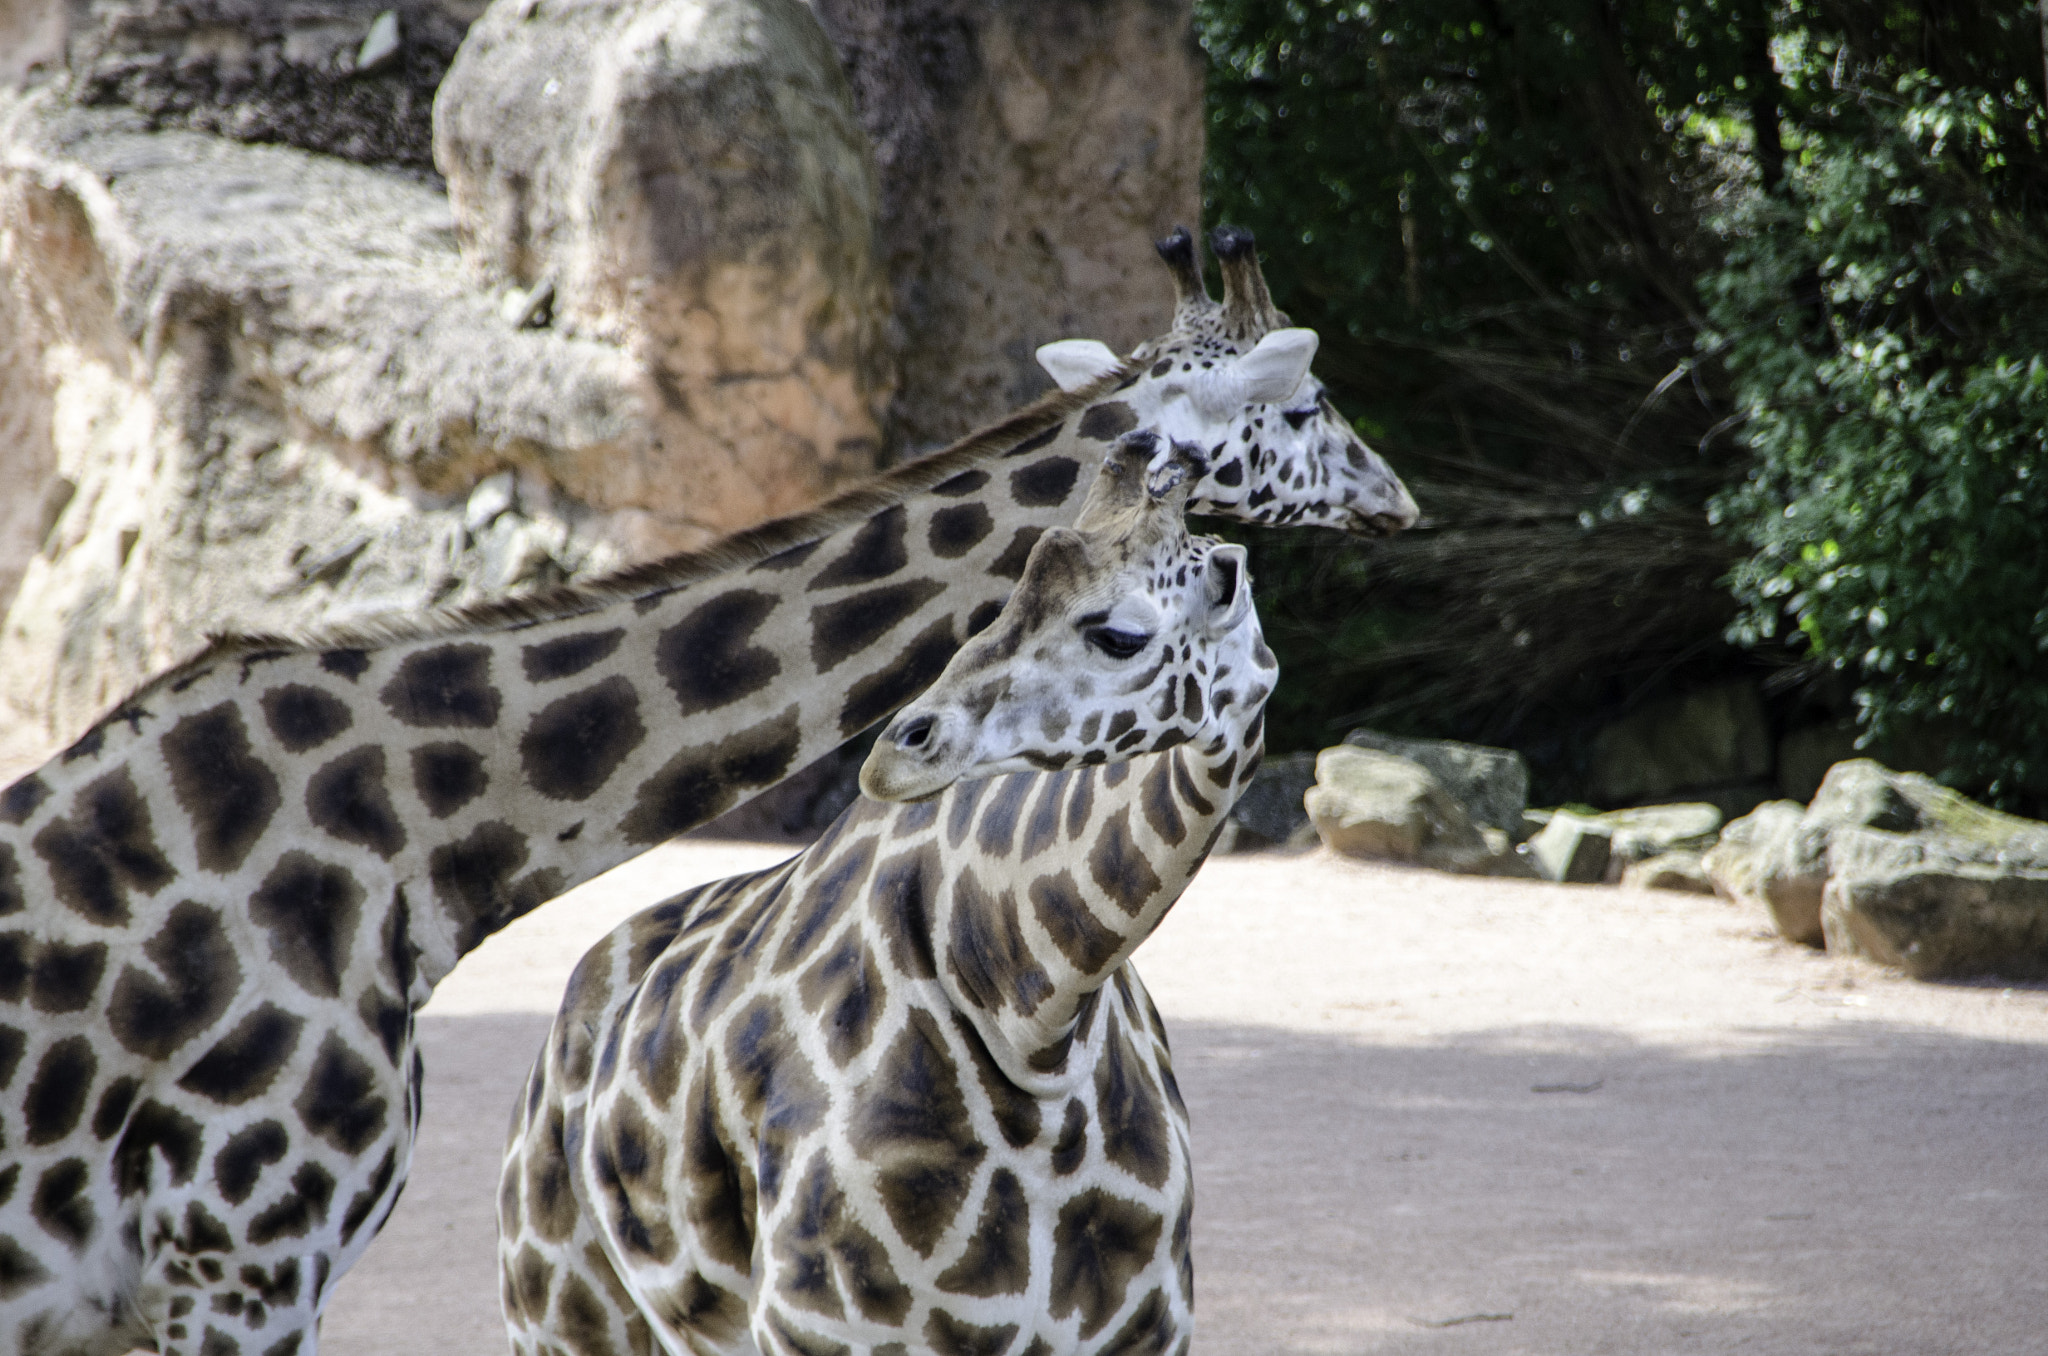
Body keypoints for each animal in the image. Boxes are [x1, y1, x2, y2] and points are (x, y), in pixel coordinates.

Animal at [497, 440, 1269, 1351]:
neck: (1033, 1021)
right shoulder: (815, 1326)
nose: (897, 753)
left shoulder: (1147, 1331)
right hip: (561, 1310)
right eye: (1007, 601)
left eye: (1119, 635)